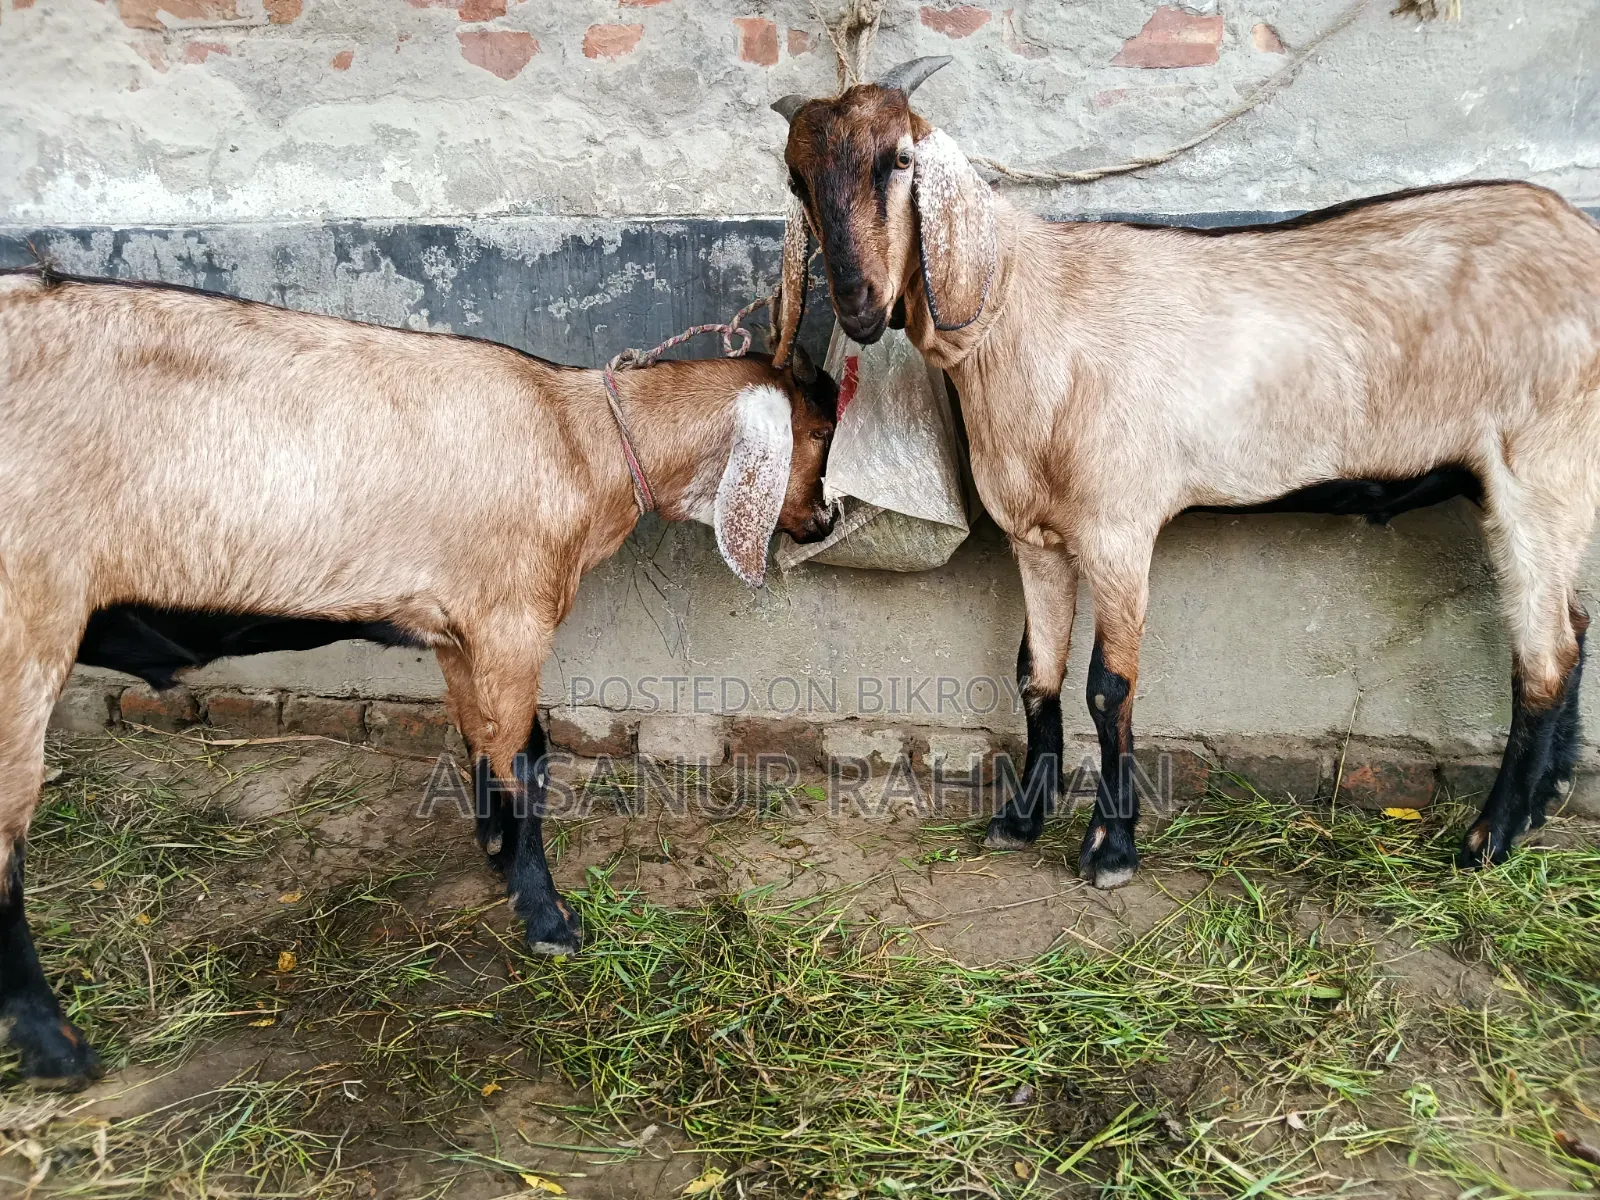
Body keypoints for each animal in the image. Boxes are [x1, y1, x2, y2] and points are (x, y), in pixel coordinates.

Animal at [0, 266, 837, 1086]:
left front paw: (494, 852)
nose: (825, 521)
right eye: (821, 433)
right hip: (24, 630)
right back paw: (58, 1052)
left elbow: (486, 742)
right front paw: (548, 919)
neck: (580, 440)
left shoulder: (459, 629)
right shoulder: (511, 621)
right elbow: (523, 758)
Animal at [772, 58, 1600, 891]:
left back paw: (1490, 838)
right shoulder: (1032, 533)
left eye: (900, 160)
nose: (856, 302)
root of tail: (1579, 232)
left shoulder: (1119, 524)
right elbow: (1035, 674)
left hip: (1543, 465)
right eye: (796, 179)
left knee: (1545, 657)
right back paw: (1543, 798)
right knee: (1574, 623)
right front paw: (1020, 820)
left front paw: (1111, 847)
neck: (1026, 309)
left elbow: (1107, 685)